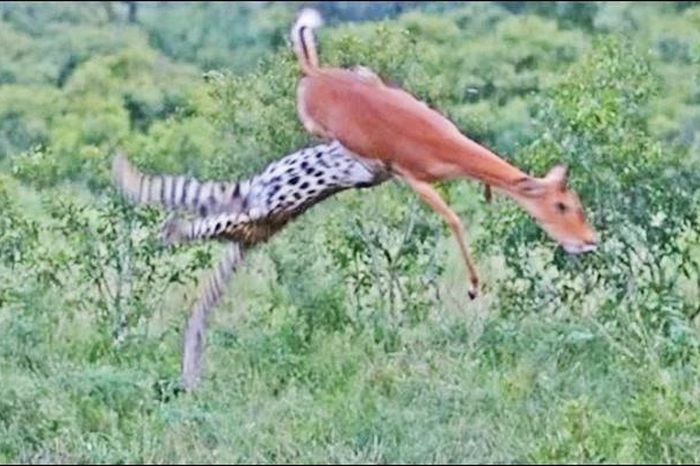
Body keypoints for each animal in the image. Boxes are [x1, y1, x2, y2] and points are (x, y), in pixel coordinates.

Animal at [290, 9, 597, 299]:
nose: (589, 240)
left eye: (576, 201)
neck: (442, 144)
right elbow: (454, 219)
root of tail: (314, 75)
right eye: (561, 205)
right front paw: (473, 286)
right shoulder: (414, 179)